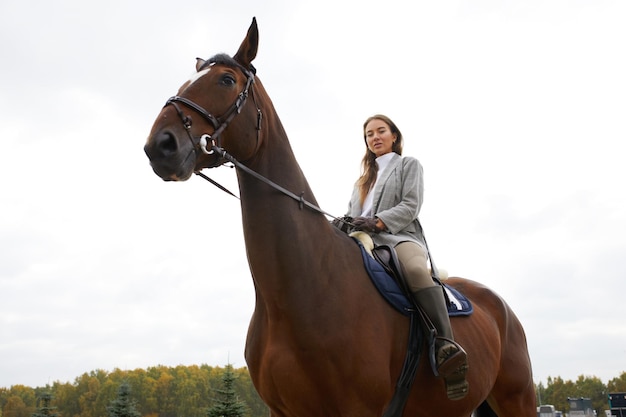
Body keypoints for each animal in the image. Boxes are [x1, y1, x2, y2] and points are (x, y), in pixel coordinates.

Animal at [144, 17, 532, 416]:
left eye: (225, 80)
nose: (160, 145)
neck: (302, 287)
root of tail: (502, 307)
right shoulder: (281, 410)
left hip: (517, 399)